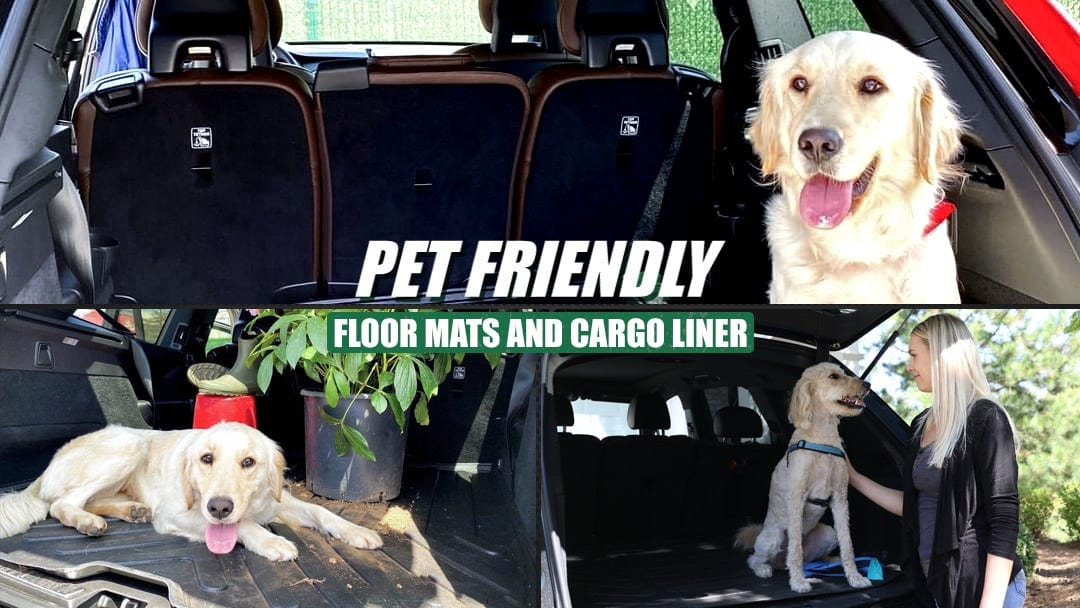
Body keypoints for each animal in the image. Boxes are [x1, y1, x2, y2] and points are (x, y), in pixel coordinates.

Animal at [0, 423, 384, 561]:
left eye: (249, 462)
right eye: (206, 459)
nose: (219, 507)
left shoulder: (275, 502)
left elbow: (321, 511)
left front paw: (356, 531)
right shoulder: (177, 512)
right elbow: (242, 525)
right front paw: (271, 541)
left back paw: (132, 511)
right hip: (129, 444)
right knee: (60, 505)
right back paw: (86, 522)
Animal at [734, 365, 876, 591]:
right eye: (833, 376)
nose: (867, 384)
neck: (822, 439)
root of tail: (779, 563)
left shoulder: (840, 498)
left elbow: (847, 543)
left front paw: (854, 576)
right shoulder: (796, 498)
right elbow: (795, 550)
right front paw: (799, 581)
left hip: (828, 533)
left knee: (814, 558)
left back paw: (829, 562)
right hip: (773, 536)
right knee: (756, 558)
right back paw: (764, 569)